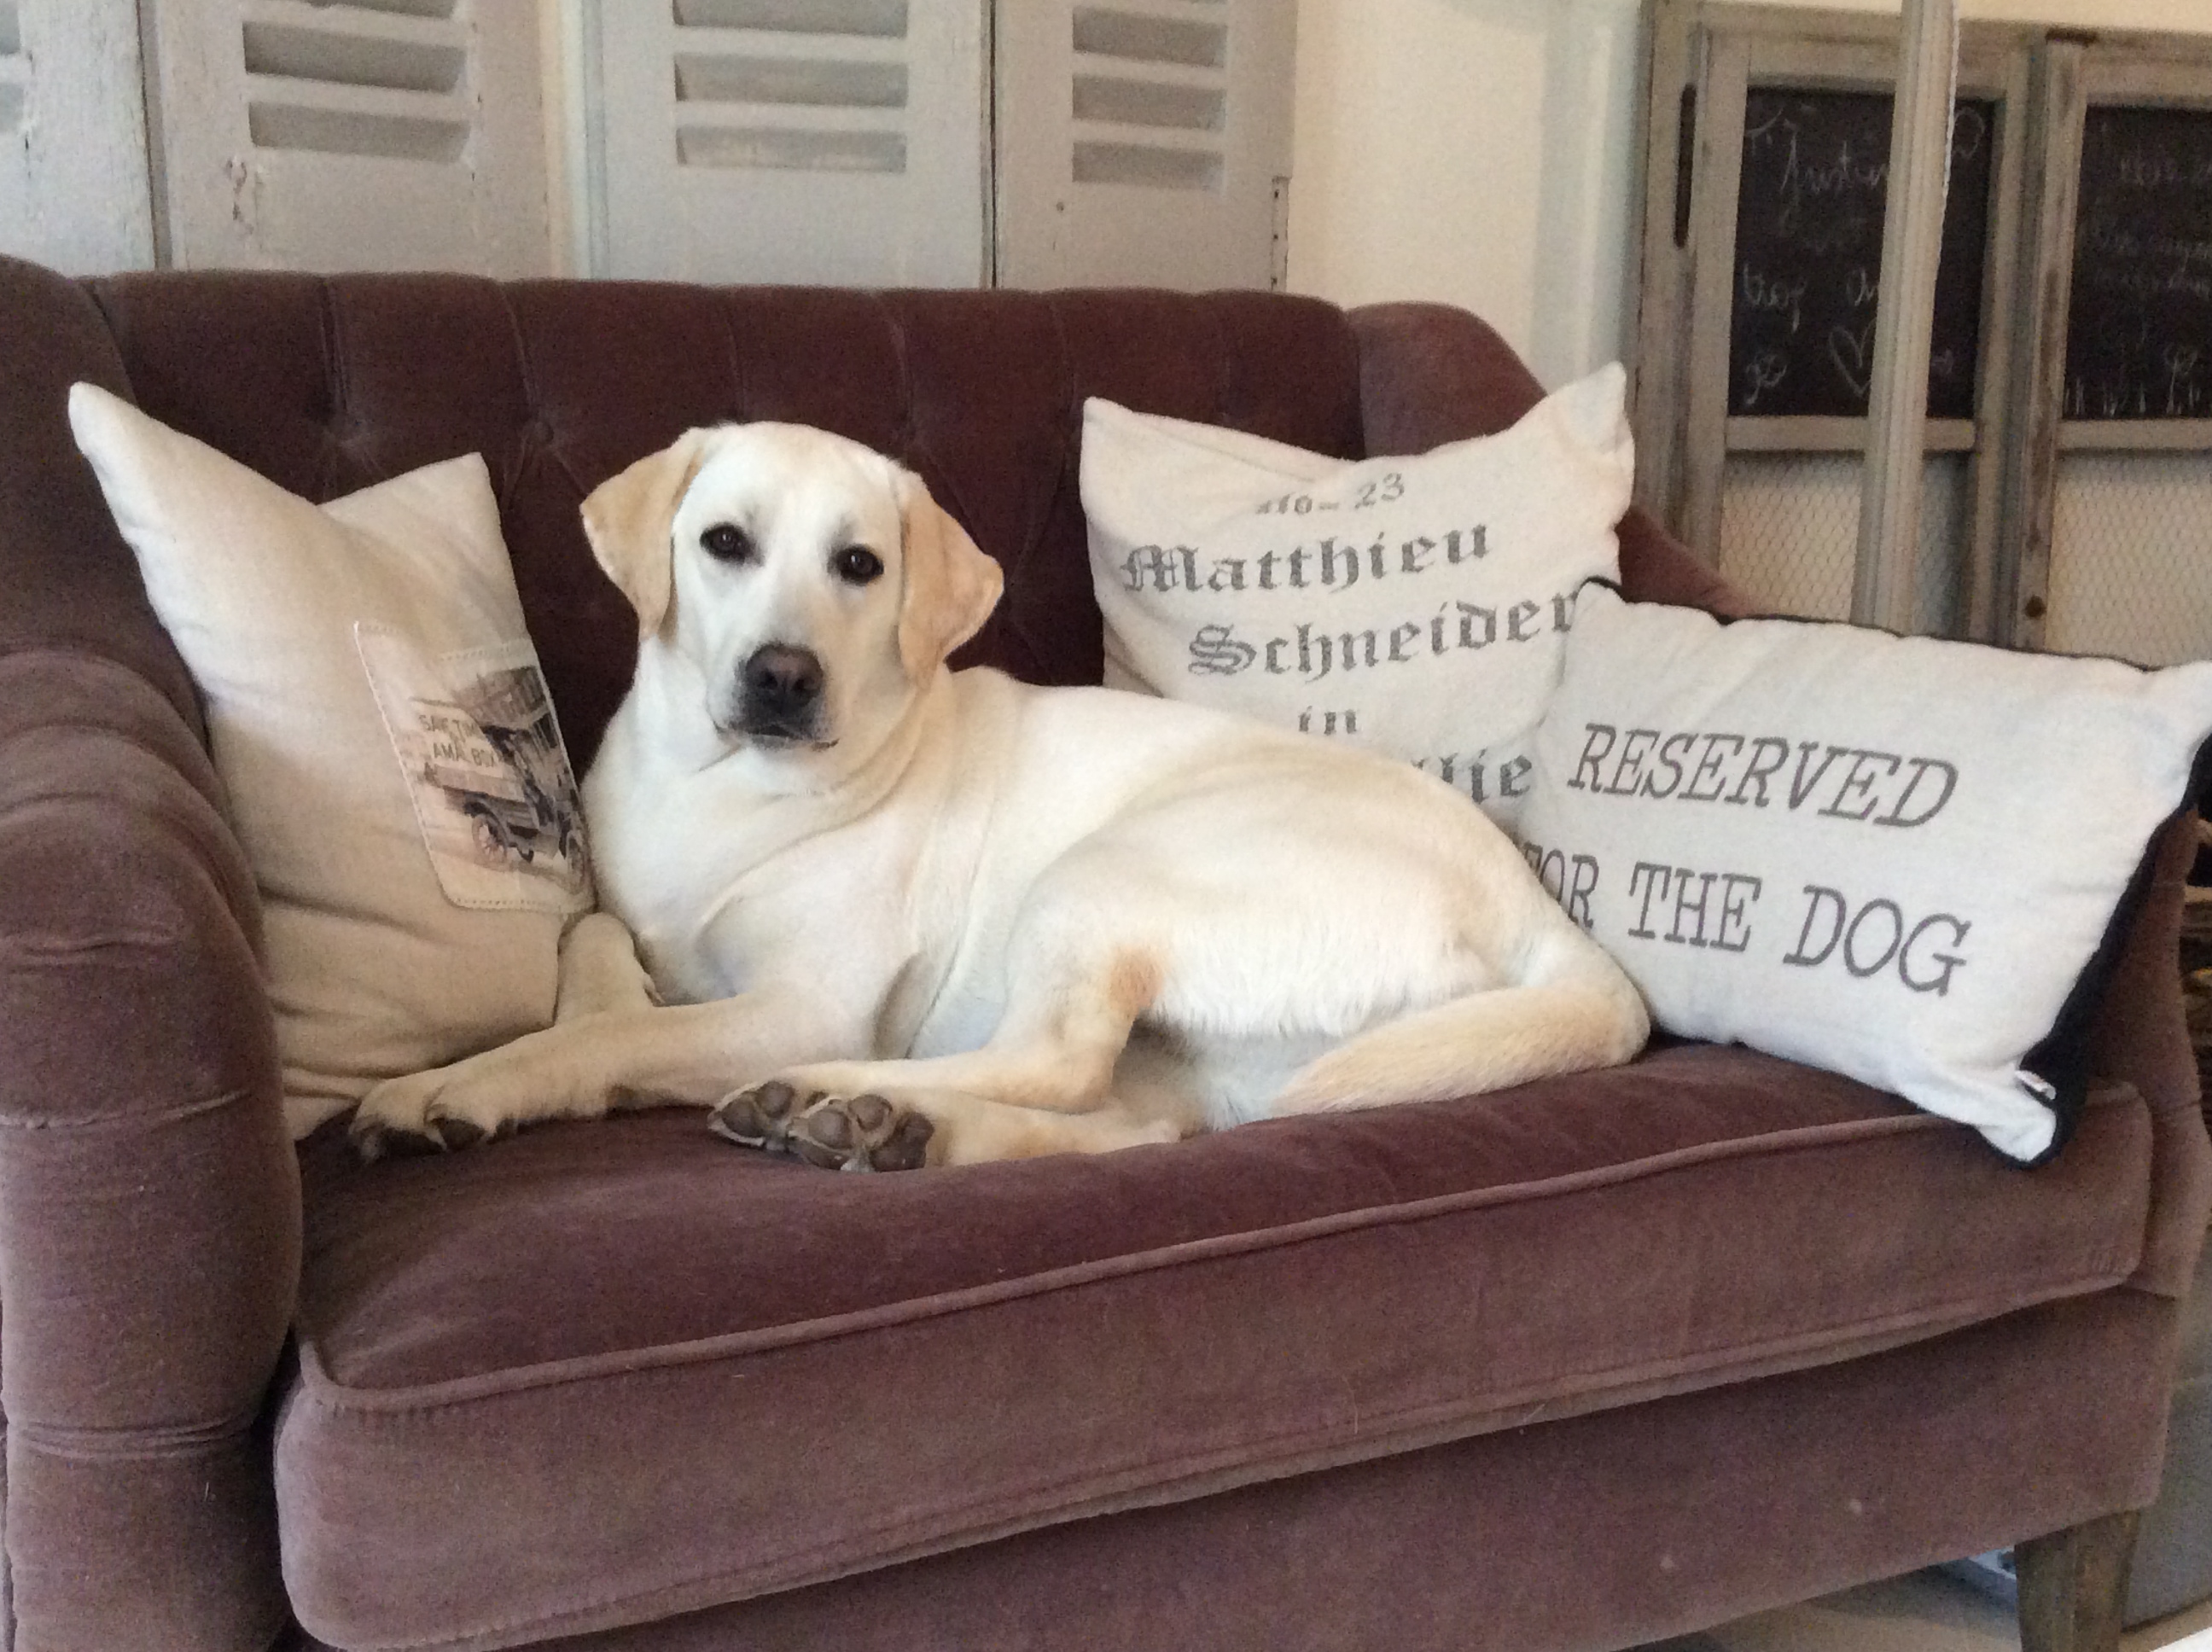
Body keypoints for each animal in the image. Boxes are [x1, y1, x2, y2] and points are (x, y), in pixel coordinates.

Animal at [349, 424, 1649, 1168]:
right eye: (723, 542)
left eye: (859, 565)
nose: (782, 676)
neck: (723, 786)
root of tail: (1543, 917)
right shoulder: (626, 912)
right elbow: (594, 943)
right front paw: (599, 995)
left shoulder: (806, 999)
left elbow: (609, 1033)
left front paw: (459, 1086)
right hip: (1198, 1043)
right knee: (1125, 1122)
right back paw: (895, 1133)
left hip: (1107, 875)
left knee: (1052, 1057)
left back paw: (832, 1096)